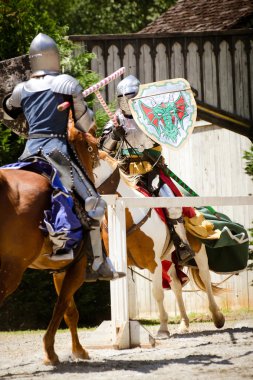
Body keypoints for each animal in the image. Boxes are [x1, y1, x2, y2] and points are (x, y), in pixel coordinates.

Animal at [0, 124, 98, 366]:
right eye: (92, 146)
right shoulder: (77, 268)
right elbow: (62, 306)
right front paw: (51, 352)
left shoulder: (60, 270)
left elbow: (69, 311)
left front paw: (77, 350)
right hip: (11, 271)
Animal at [93, 150, 225, 336]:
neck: (127, 212)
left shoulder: (152, 263)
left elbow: (157, 293)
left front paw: (162, 328)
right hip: (167, 258)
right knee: (176, 284)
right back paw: (184, 323)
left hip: (197, 249)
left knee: (205, 278)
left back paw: (217, 316)